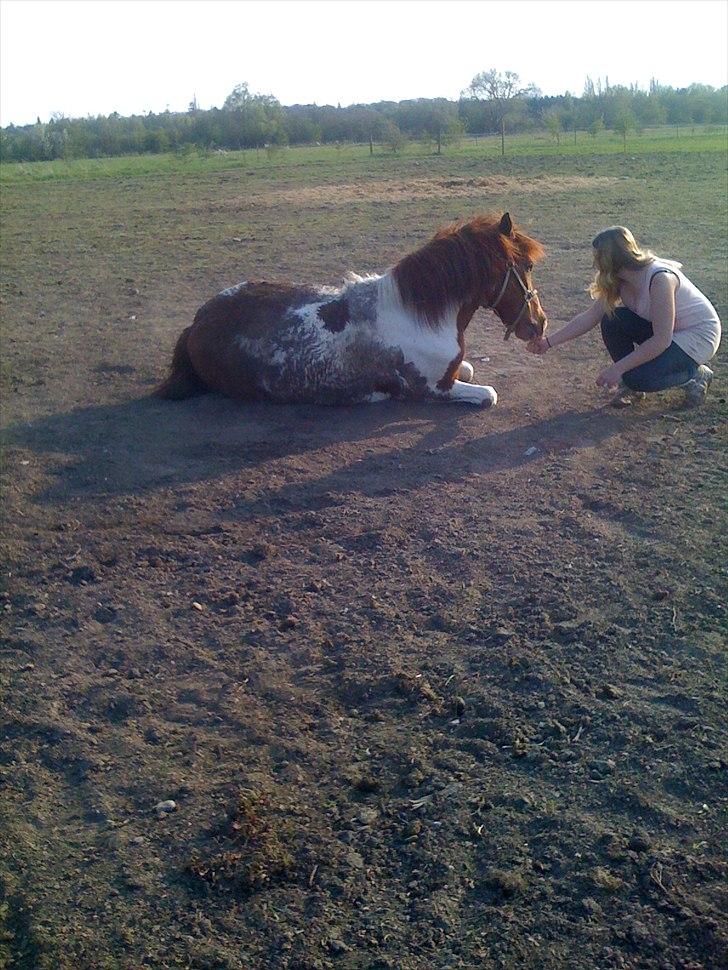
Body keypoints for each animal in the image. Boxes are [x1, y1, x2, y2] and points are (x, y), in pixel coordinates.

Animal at [156, 210, 548, 406]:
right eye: (527, 266)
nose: (539, 324)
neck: (416, 318)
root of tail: (198, 322)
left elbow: (466, 367)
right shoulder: (435, 389)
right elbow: (488, 394)